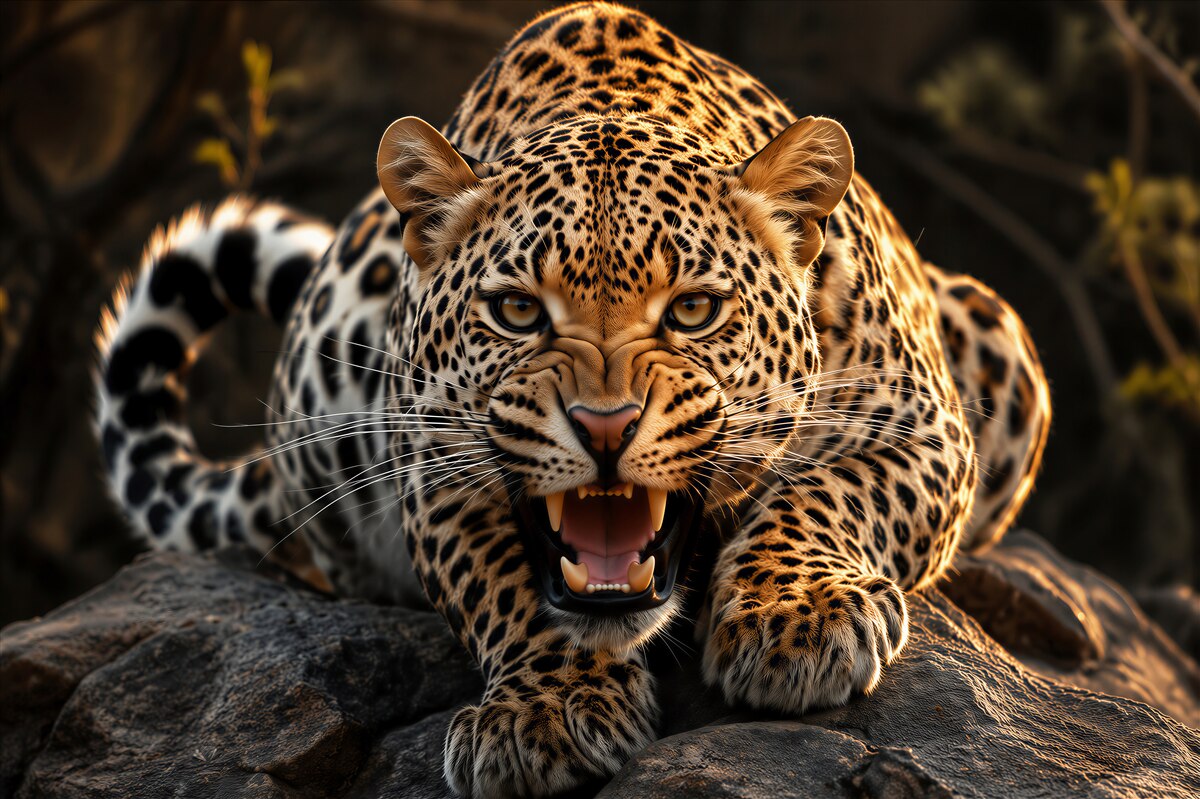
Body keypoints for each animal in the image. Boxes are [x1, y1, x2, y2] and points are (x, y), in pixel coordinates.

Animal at [94, 3, 1051, 796]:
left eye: (694, 310)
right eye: (518, 310)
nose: (604, 428)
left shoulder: (920, 427)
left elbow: (826, 494)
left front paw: (799, 619)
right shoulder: (433, 471)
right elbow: (507, 583)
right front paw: (544, 711)